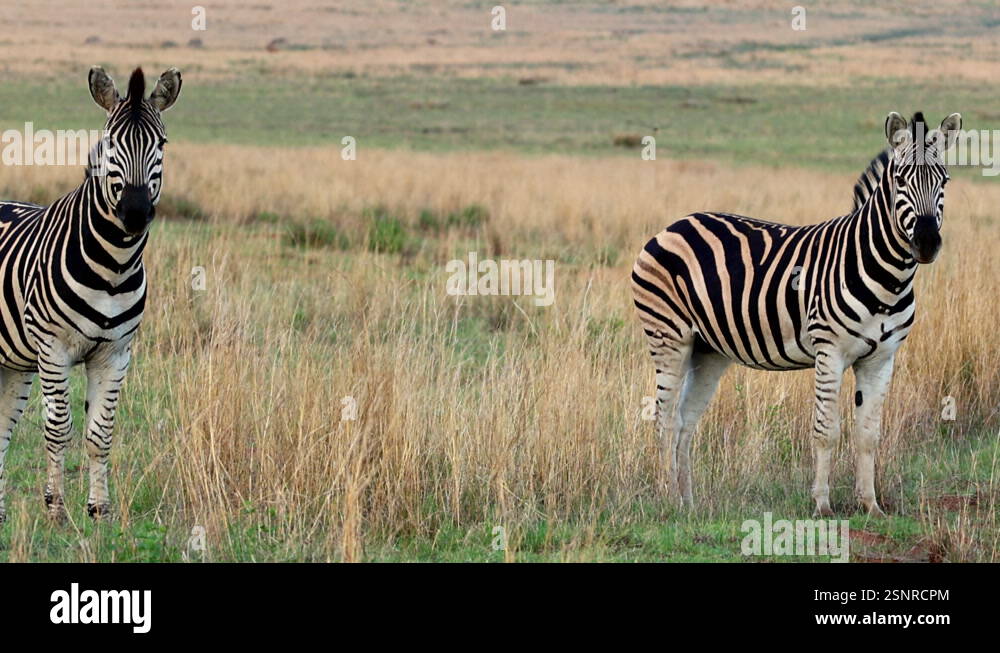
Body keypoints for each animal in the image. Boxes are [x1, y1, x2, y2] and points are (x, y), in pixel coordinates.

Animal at [0, 66, 182, 523]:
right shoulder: (53, 350)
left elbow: (100, 433)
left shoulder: (115, 354)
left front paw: (99, 510)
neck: (113, 267)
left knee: (2, 428)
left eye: (161, 144)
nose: (135, 212)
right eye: (109, 142)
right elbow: (58, 429)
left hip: (14, 363)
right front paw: (56, 509)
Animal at [631, 111, 961, 516]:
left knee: (684, 422)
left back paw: (688, 505)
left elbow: (868, 434)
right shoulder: (829, 351)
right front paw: (822, 505)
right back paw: (668, 500)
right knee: (663, 419)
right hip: (669, 337)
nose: (927, 243)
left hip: (708, 351)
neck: (888, 277)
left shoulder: (882, 358)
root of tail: (674, 224)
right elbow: (826, 430)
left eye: (944, 180)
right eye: (900, 179)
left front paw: (870, 505)